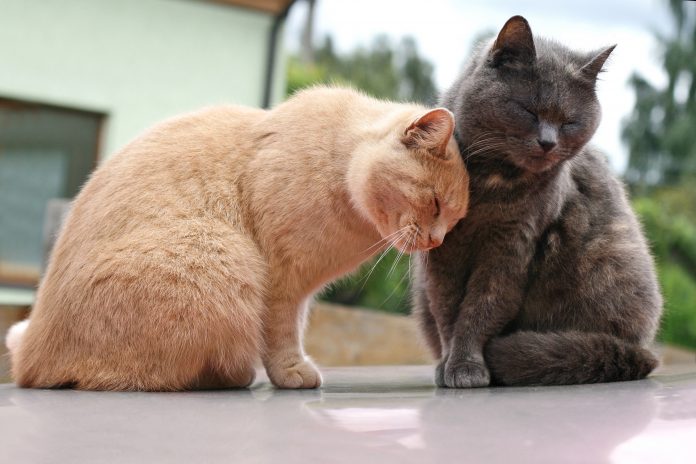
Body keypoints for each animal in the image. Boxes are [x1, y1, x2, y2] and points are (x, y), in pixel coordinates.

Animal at [6, 85, 468, 390]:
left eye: (454, 220)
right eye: (435, 205)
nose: (435, 240)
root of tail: (31, 355)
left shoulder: (298, 289)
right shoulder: (282, 282)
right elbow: (281, 334)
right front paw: (291, 372)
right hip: (223, 254)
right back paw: (234, 375)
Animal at [414, 15, 664, 388]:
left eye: (570, 121)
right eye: (528, 110)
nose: (548, 142)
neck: (490, 186)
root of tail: (646, 351)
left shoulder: (512, 246)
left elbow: (481, 308)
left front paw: (466, 366)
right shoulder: (443, 251)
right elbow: (445, 309)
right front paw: (449, 364)